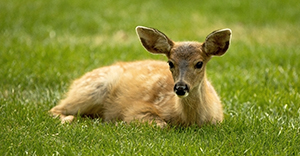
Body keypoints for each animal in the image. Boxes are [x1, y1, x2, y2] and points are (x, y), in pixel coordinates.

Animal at [49, 25, 232, 128]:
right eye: (170, 63)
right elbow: (161, 125)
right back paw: (71, 119)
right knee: (55, 109)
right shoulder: (137, 108)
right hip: (92, 89)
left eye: (199, 63)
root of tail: (75, 83)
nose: (180, 87)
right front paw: (120, 122)